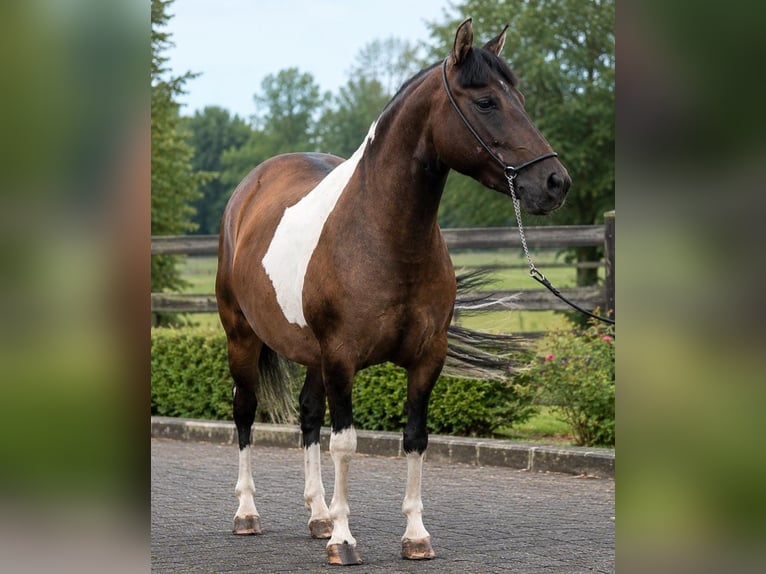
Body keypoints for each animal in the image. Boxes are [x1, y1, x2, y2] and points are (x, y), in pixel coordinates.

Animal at [215, 18, 570, 566]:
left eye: (522, 98)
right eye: (487, 101)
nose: (555, 182)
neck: (382, 234)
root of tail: (248, 190)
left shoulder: (426, 357)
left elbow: (415, 438)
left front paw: (415, 536)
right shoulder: (342, 357)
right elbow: (346, 444)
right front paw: (344, 541)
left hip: (312, 355)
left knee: (308, 417)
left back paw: (317, 516)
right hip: (243, 339)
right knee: (245, 413)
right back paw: (248, 514)